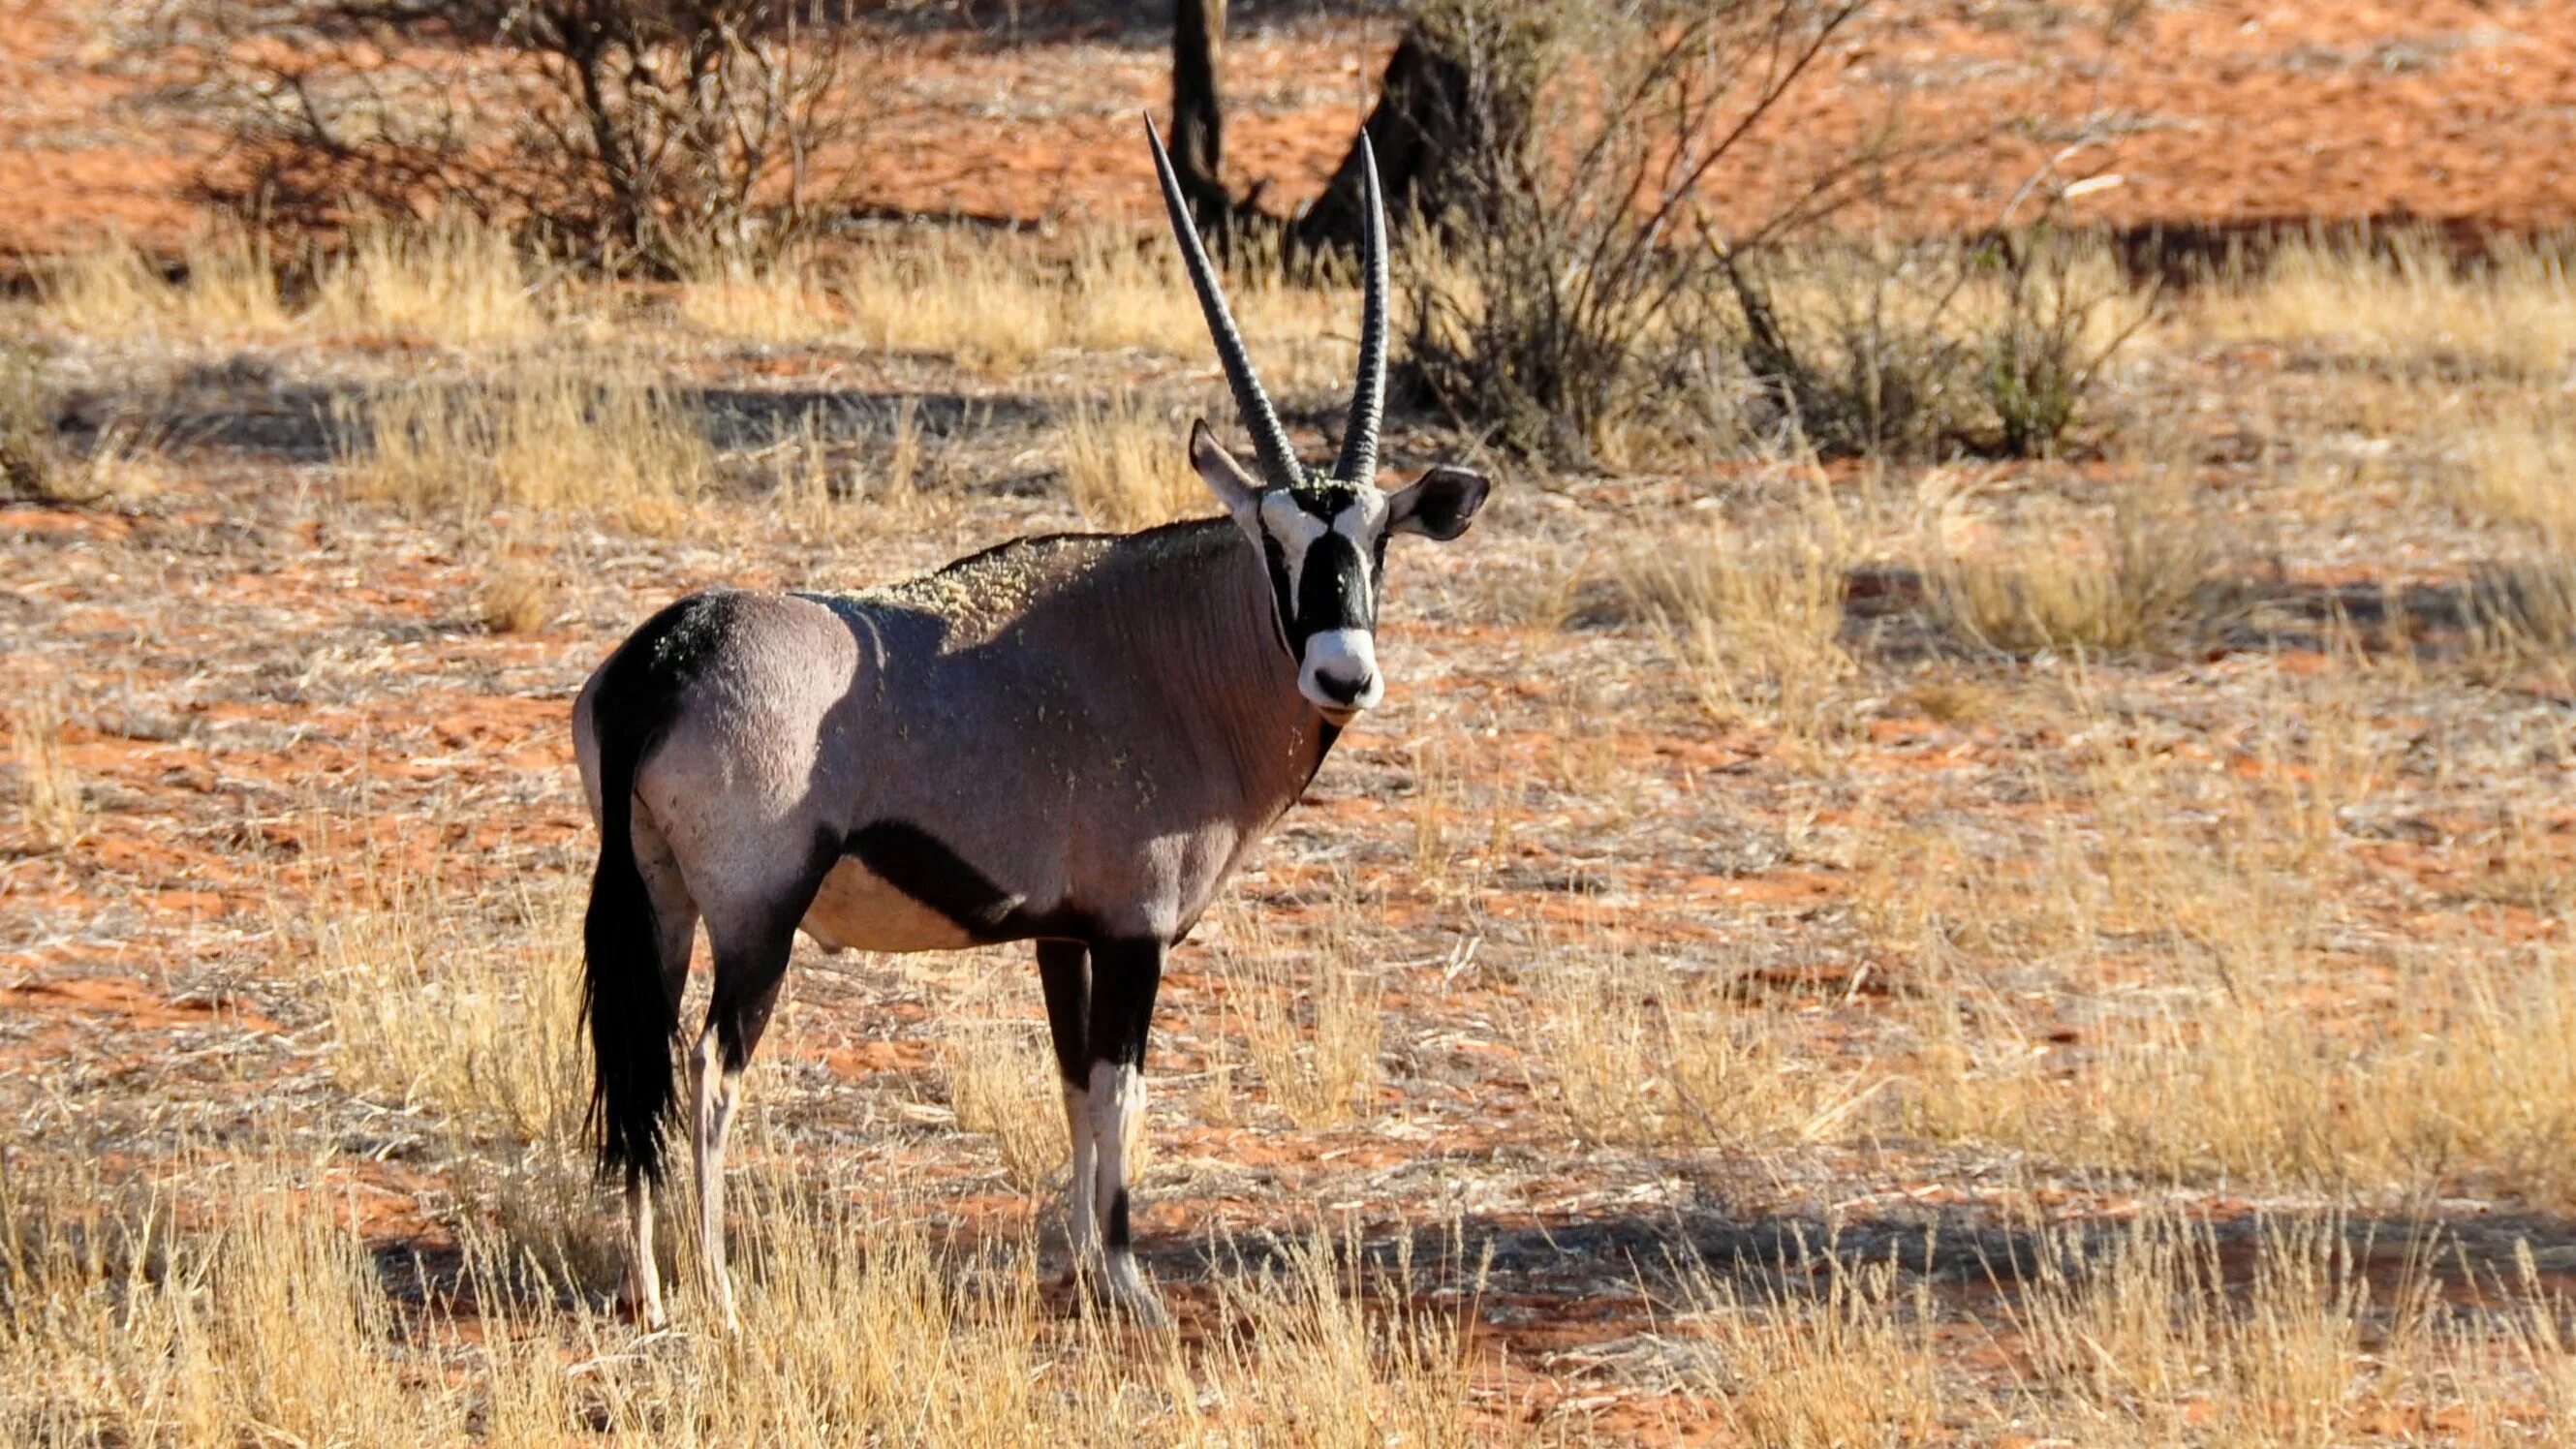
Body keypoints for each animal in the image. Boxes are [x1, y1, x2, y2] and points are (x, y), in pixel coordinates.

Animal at [569, 118, 1494, 1328]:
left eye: (1377, 541)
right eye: (1276, 542)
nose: (1344, 673)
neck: (1169, 646)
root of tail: (666, 655)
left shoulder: (1063, 932)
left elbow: (1070, 1089)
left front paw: (1076, 1259)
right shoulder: (1135, 928)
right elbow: (1121, 1091)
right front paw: (1129, 1280)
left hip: (658, 901)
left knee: (638, 1056)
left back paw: (647, 1288)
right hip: (756, 917)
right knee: (708, 1072)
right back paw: (718, 1289)